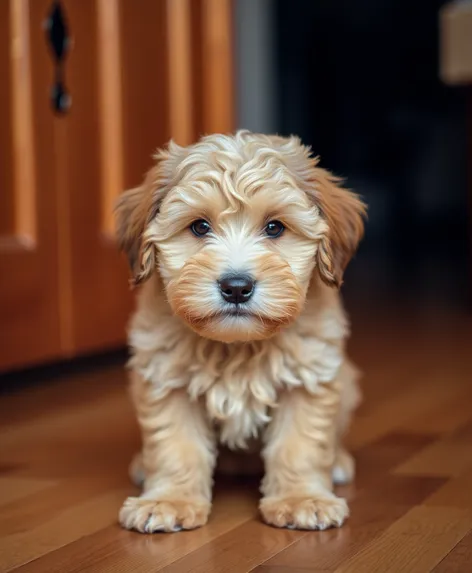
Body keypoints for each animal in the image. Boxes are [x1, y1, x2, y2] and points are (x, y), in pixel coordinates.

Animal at [114, 130, 366, 532]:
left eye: (275, 227)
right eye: (199, 227)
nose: (235, 287)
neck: (237, 347)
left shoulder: (308, 377)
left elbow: (299, 444)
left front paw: (301, 499)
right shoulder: (166, 378)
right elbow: (175, 445)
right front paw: (170, 500)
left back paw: (338, 461)